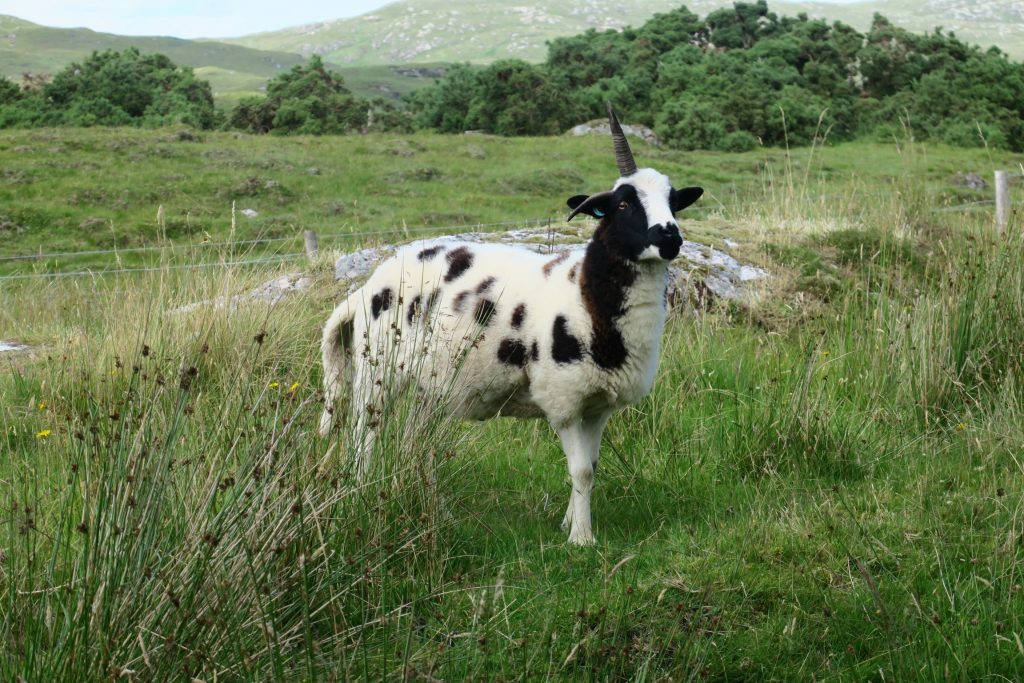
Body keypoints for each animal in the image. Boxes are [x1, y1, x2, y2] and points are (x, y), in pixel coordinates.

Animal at [321, 105, 704, 544]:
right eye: (623, 204)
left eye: (674, 202)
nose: (670, 237)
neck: (588, 295)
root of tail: (364, 289)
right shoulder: (563, 399)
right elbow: (581, 470)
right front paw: (581, 538)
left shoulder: (598, 404)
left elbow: (592, 466)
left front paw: (569, 522)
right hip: (376, 370)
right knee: (363, 436)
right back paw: (360, 493)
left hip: (425, 385)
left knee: (412, 438)